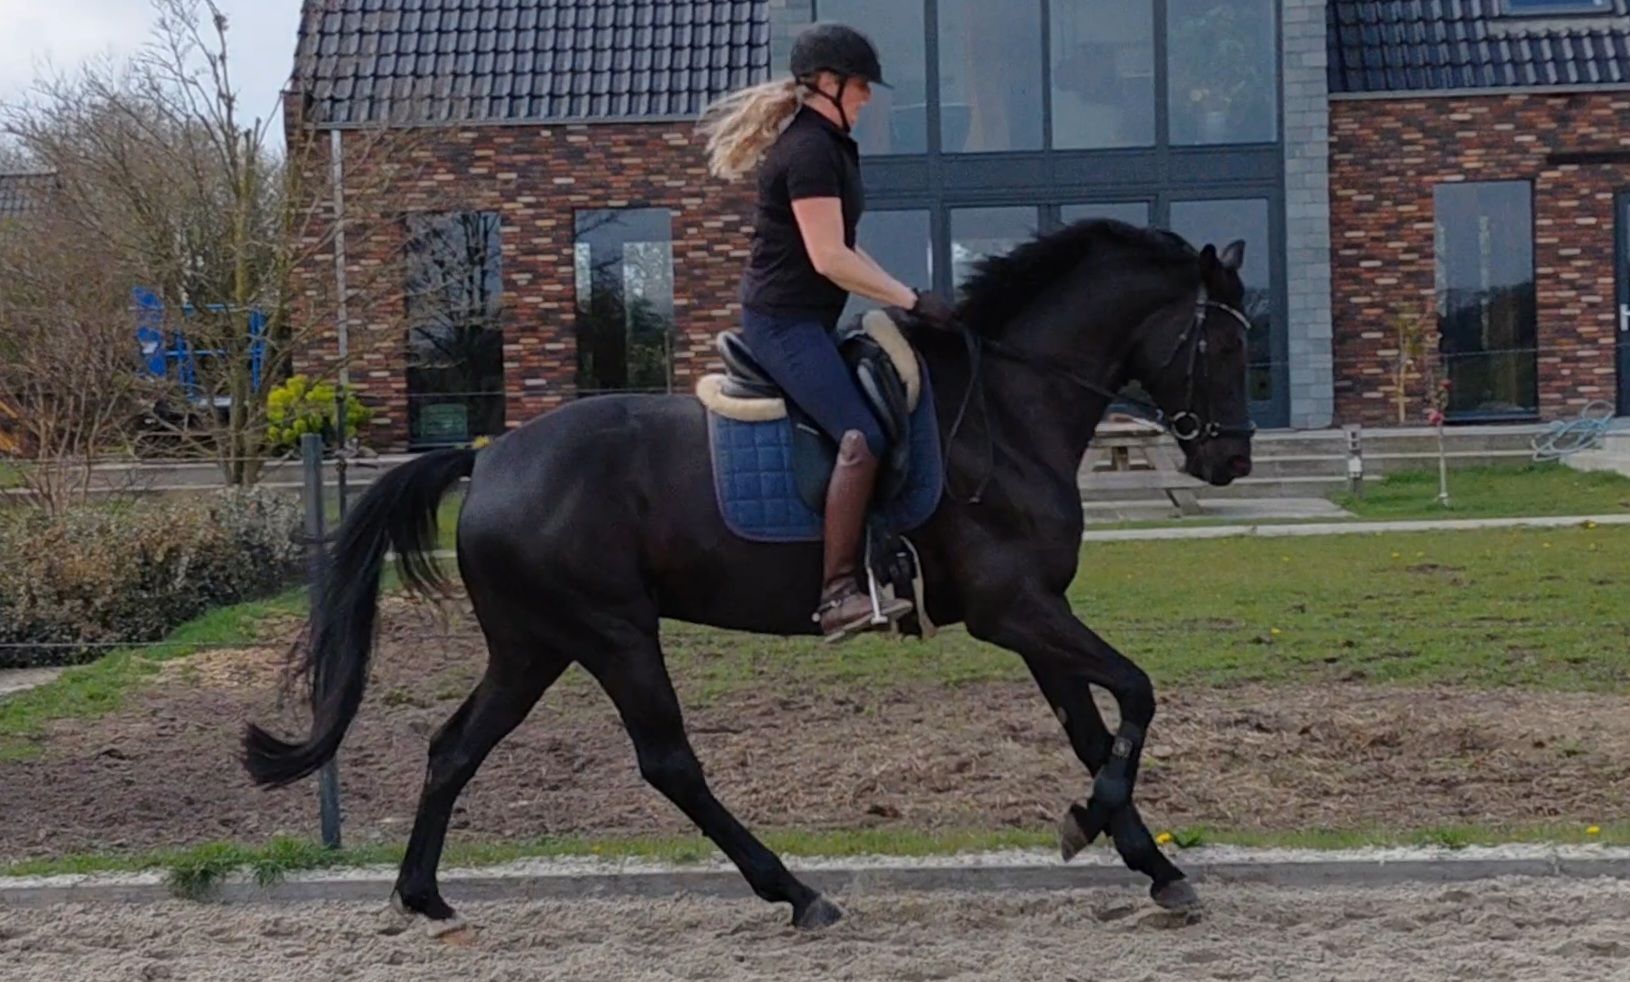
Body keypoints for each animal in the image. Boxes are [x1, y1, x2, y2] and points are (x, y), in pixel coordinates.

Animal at [243, 218, 1257, 934]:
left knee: (455, 746)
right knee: (669, 763)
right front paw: (1095, 827)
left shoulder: (1037, 614)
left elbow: (1094, 728)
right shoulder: (1015, 610)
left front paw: (1152, 864)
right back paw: (796, 893)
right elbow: (1138, 692)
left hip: (534, 646)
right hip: (613, 635)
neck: (1006, 411)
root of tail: (487, 461)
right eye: (1224, 346)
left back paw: (422, 895)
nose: (1233, 462)